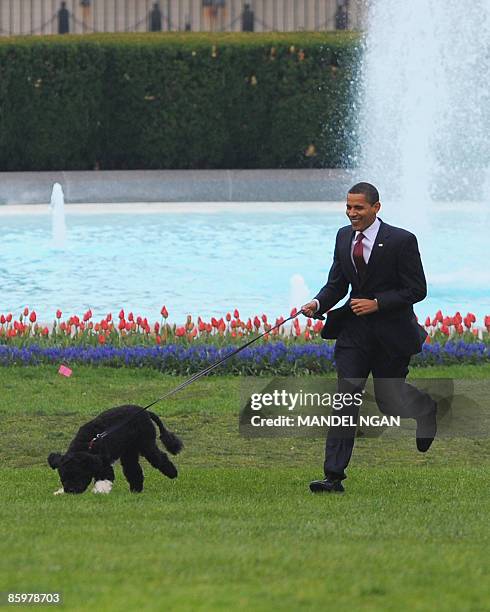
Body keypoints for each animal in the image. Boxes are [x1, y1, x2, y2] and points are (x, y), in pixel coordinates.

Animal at [47, 404, 183, 494]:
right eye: (63, 478)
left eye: (78, 475)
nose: (71, 490)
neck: (87, 445)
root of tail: (145, 412)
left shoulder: (104, 464)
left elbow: (105, 477)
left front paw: (101, 490)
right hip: (129, 450)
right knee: (133, 468)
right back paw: (136, 490)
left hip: (146, 443)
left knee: (159, 457)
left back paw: (172, 473)